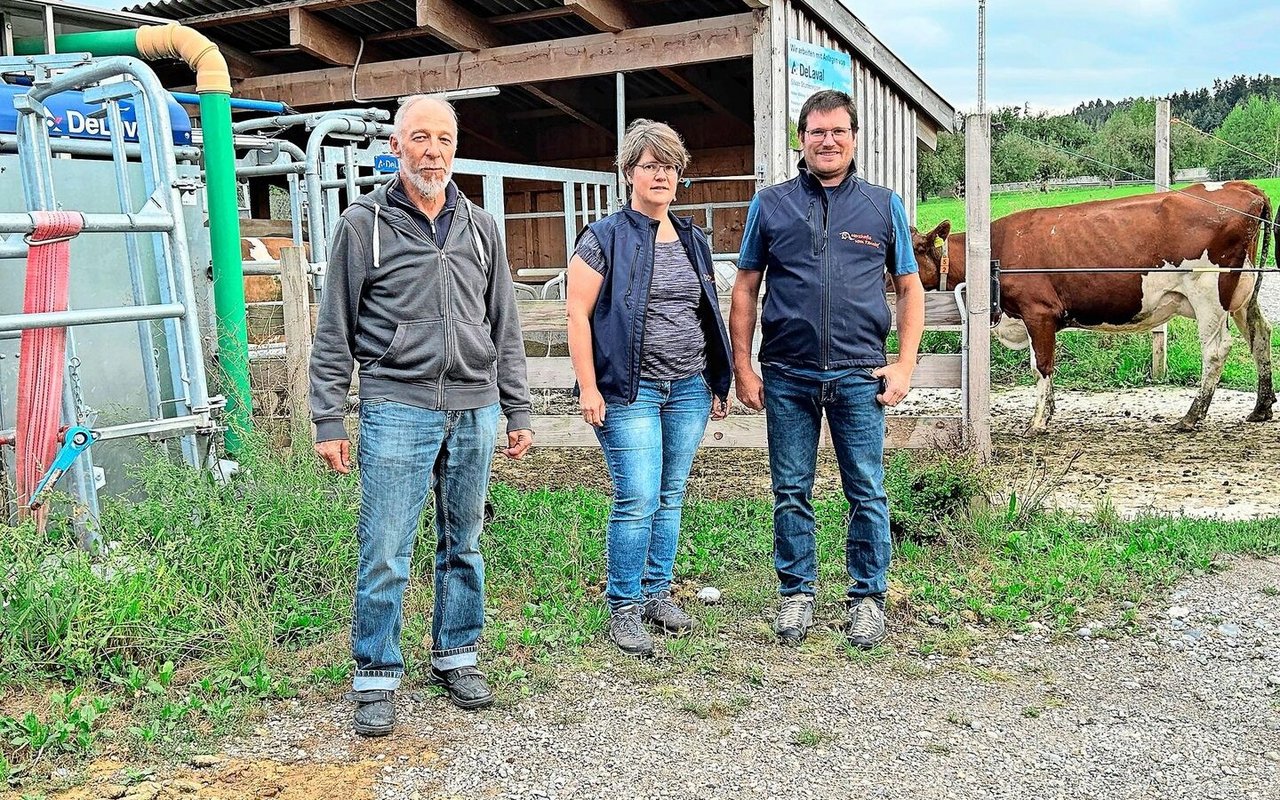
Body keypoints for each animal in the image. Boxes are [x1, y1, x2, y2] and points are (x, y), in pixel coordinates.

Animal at [911, 180, 1269, 430]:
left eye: (915, 247)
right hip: (1242, 296)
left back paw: (1192, 416)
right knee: (1260, 335)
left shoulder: (1038, 311)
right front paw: (1049, 412)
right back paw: (1262, 406)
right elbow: (1040, 367)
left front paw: (1038, 422)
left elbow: (1042, 365)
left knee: (1216, 350)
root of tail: (1242, 186)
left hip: (1210, 293)